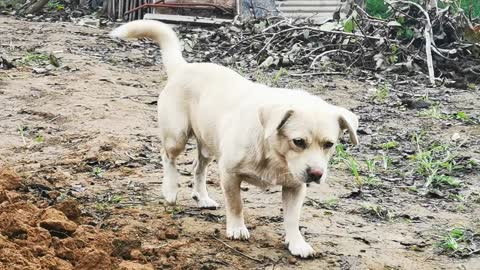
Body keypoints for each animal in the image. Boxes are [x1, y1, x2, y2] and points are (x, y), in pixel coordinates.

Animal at [110, 20, 358, 258]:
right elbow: (236, 204)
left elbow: (292, 218)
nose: (316, 174)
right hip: (177, 136)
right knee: (167, 157)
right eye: (298, 142)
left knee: (197, 168)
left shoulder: (295, 187)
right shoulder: (229, 174)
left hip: (208, 146)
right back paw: (170, 190)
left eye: (329, 144)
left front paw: (297, 243)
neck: (273, 154)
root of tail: (184, 67)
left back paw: (202, 197)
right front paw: (237, 228)